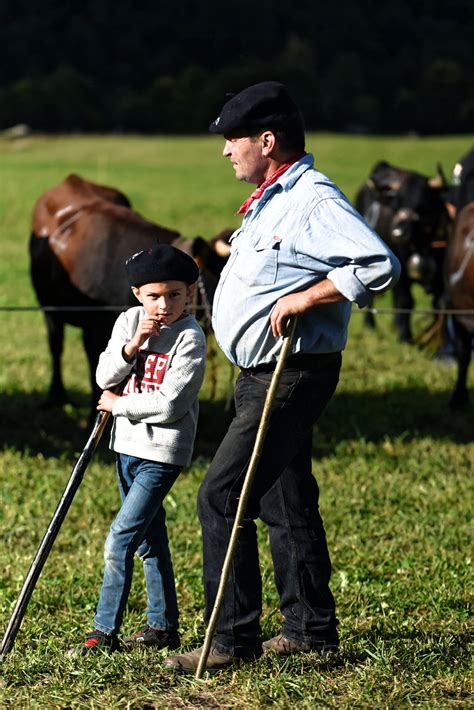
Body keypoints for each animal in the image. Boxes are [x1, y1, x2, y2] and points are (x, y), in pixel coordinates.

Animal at [354, 161, 450, 342]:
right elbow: (406, 300)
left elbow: (439, 304)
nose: (398, 233)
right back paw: (371, 325)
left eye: (421, 203)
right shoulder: (402, 270)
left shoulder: (442, 274)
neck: (421, 245)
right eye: (397, 204)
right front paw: (405, 337)